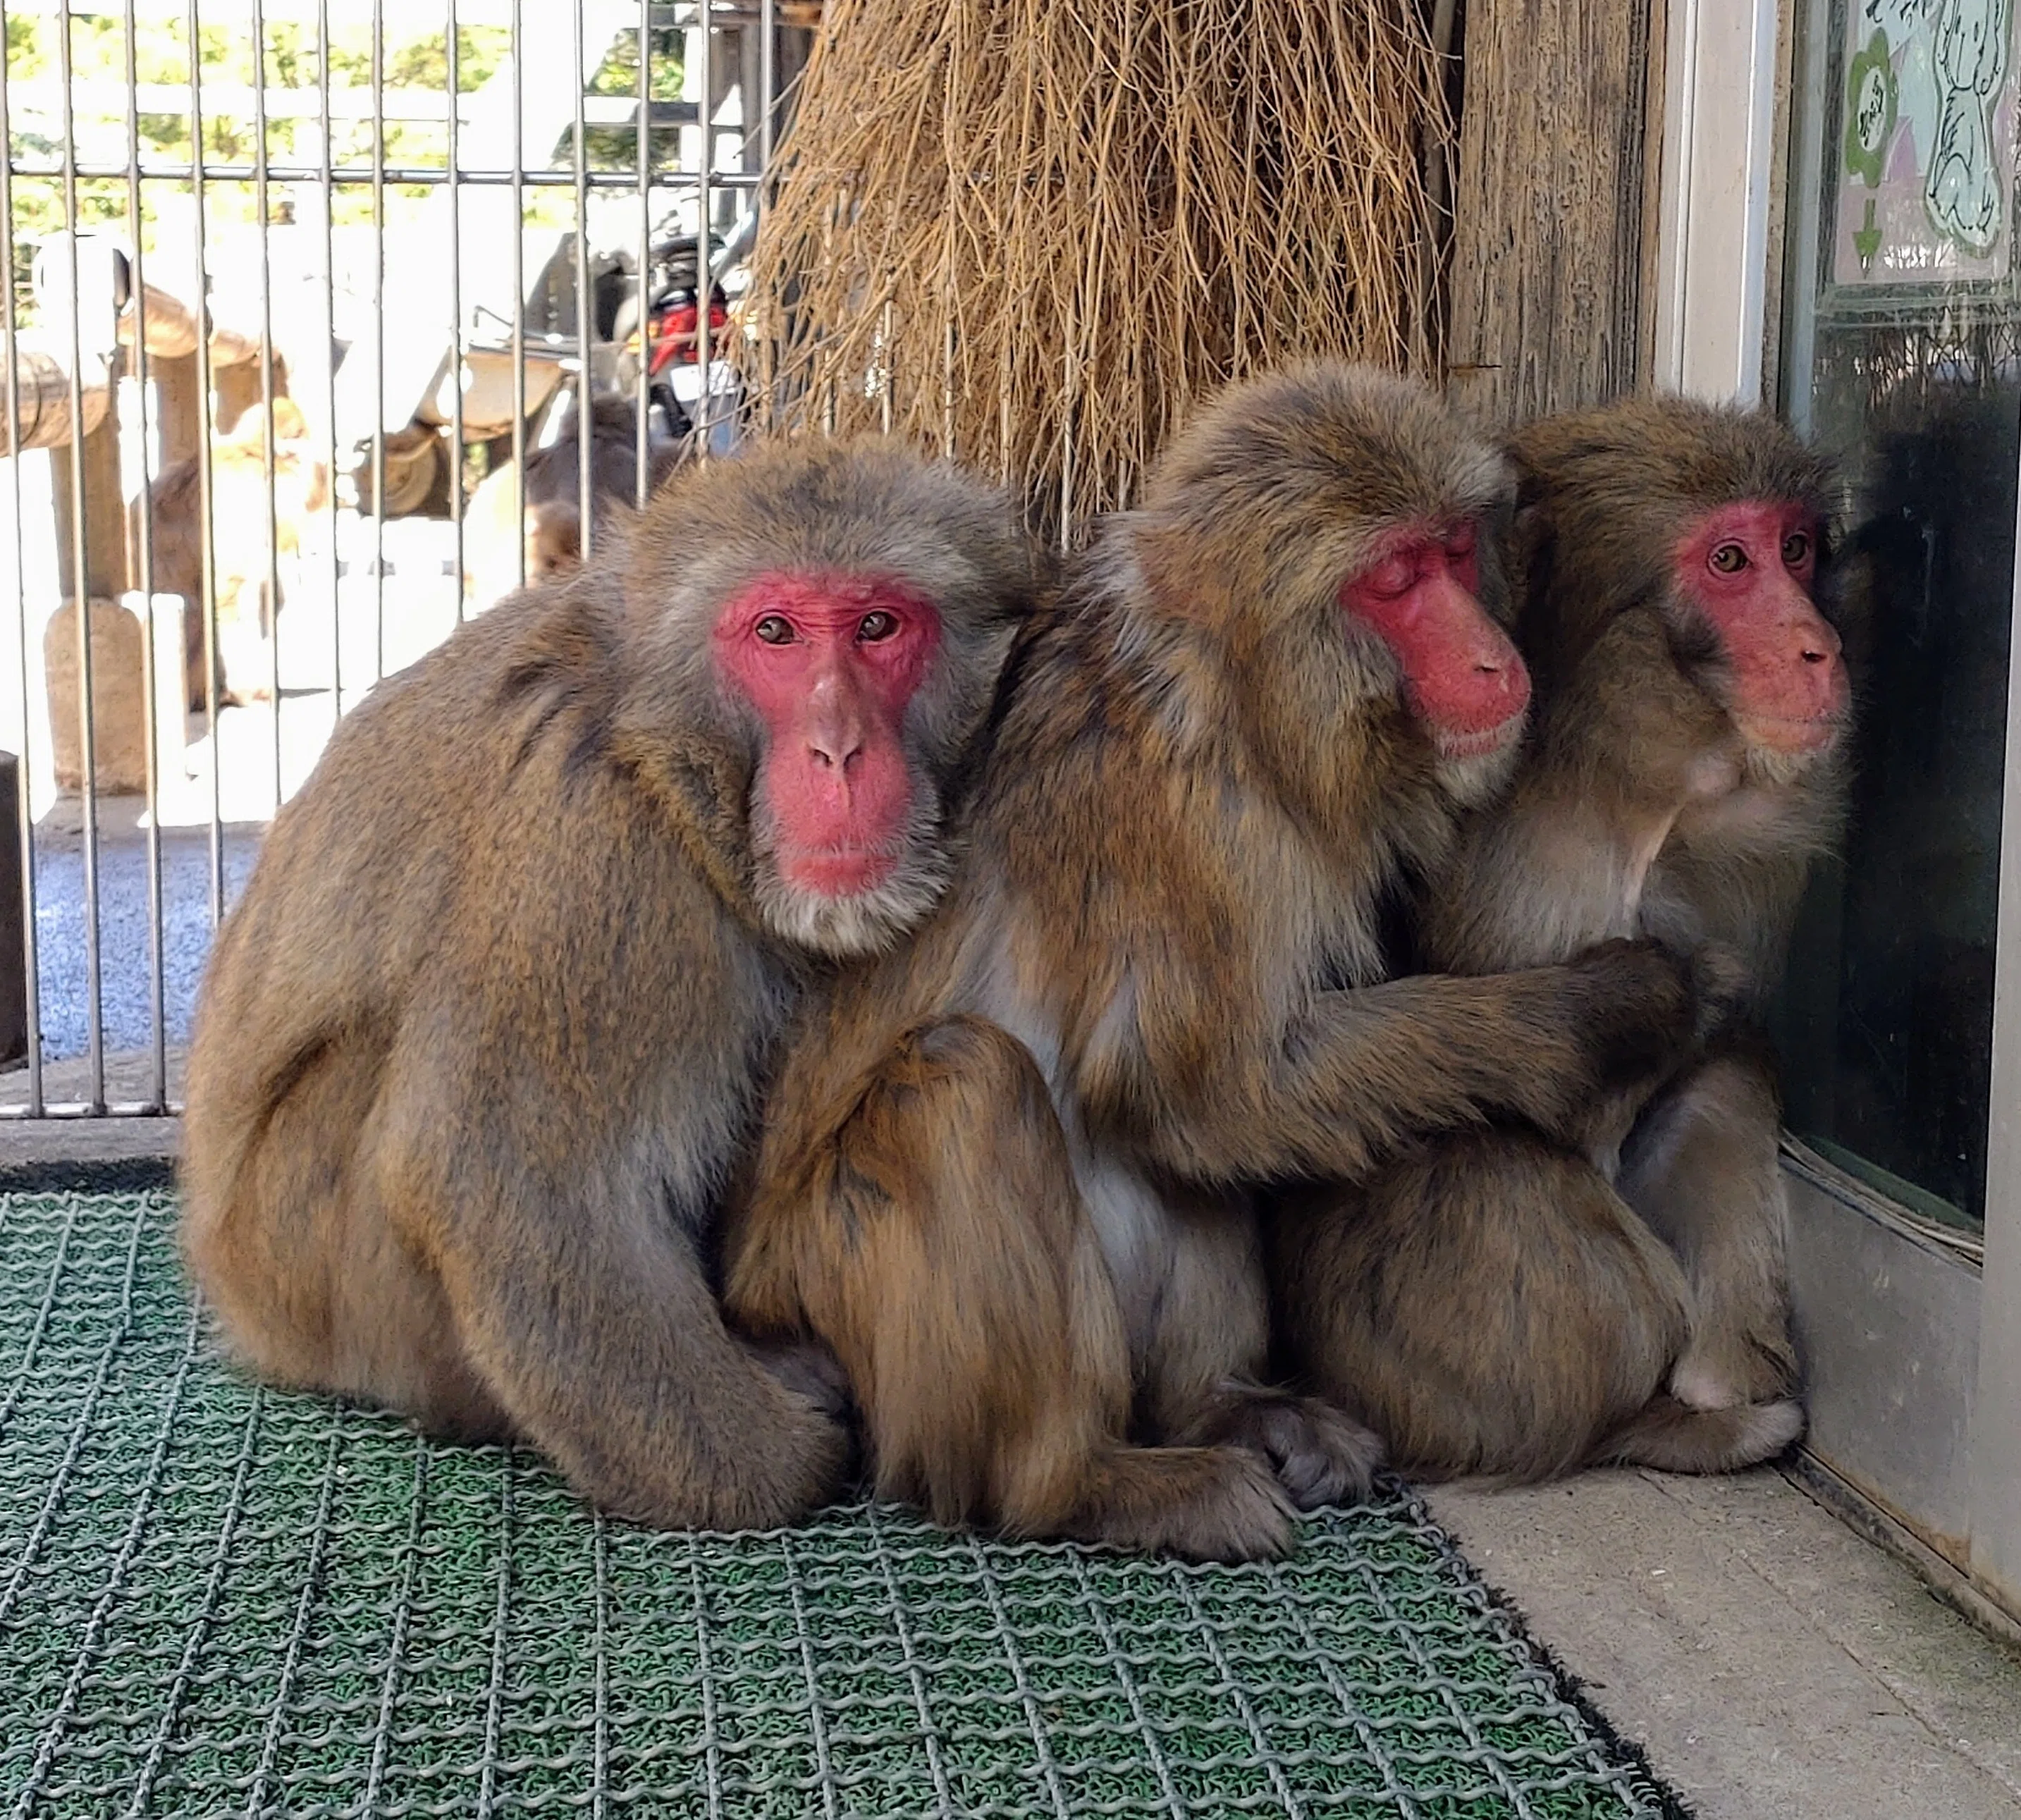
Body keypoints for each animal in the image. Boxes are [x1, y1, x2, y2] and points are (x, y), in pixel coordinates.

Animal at [179, 439, 1038, 1532]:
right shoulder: (593, 859)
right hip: (322, 1279)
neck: (661, 754)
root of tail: (238, 1294)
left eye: (877, 626)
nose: (838, 751)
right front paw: (778, 1463)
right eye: (774, 631)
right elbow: (511, 1183)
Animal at [725, 363, 1708, 1563]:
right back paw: (1084, 1481)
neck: (1237, 701)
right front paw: (1599, 1016)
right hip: (836, 1299)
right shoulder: (1200, 828)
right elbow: (1203, 1088)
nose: (1491, 657)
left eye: (1449, 552)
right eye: (1391, 581)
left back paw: (1227, 1405)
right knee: (965, 1082)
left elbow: (1217, 1106)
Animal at [1267, 396, 1851, 1482]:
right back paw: (1633, 1426)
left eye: (1794, 547)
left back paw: (1714, 1393)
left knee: (1722, 1082)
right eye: (1729, 561)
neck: (1628, 780)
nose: (1819, 646)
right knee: (1496, 1169)